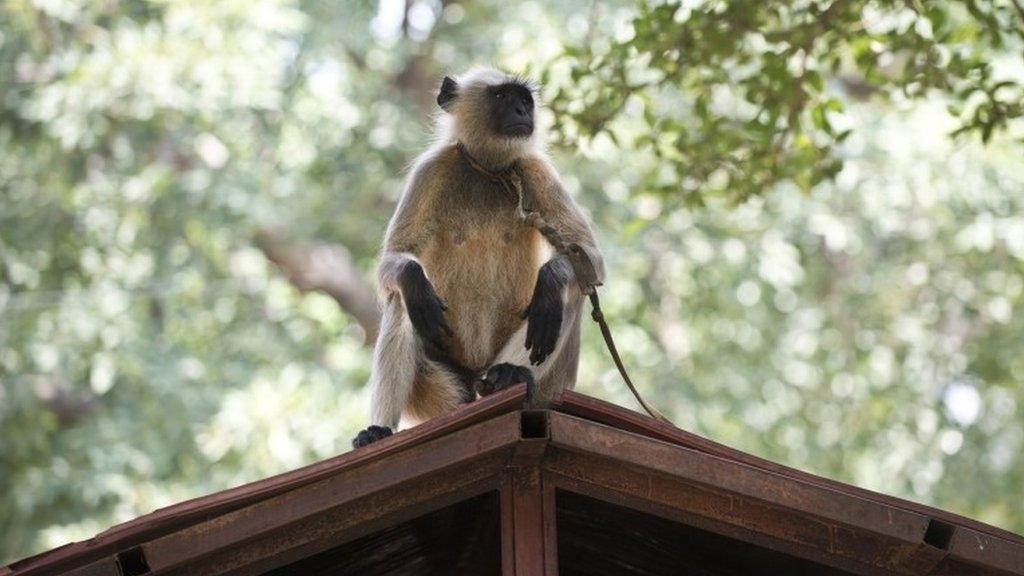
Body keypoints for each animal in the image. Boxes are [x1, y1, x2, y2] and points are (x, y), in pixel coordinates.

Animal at [356, 66, 602, 444]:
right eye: (502, 97)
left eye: (524, 99)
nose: (522, 111)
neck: (489, 168)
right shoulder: (432, 169)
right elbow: (397, 262)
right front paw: (412, 279)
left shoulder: (534, 168)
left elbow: (590, 260)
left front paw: (550, 282)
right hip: (443, 391)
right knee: (403, 299)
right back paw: (378, 430)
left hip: (547, 387)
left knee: (572, 290)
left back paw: (510, 373)